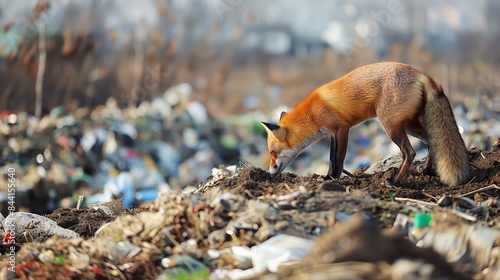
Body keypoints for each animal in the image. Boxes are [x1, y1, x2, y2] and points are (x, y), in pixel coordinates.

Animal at [264, 61, 470, 186]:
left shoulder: (342, 128)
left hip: (391, 126)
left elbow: (337, 160)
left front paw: (333, 179)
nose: (269, 172)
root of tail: (424, 75)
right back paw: (426, 171)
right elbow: (331, 158)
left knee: (410, 152)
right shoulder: (332, 133)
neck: (311, 114)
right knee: (431, 142)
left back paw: (395, 181)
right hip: (409, 125)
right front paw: (328, 177)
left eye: (273, 153)